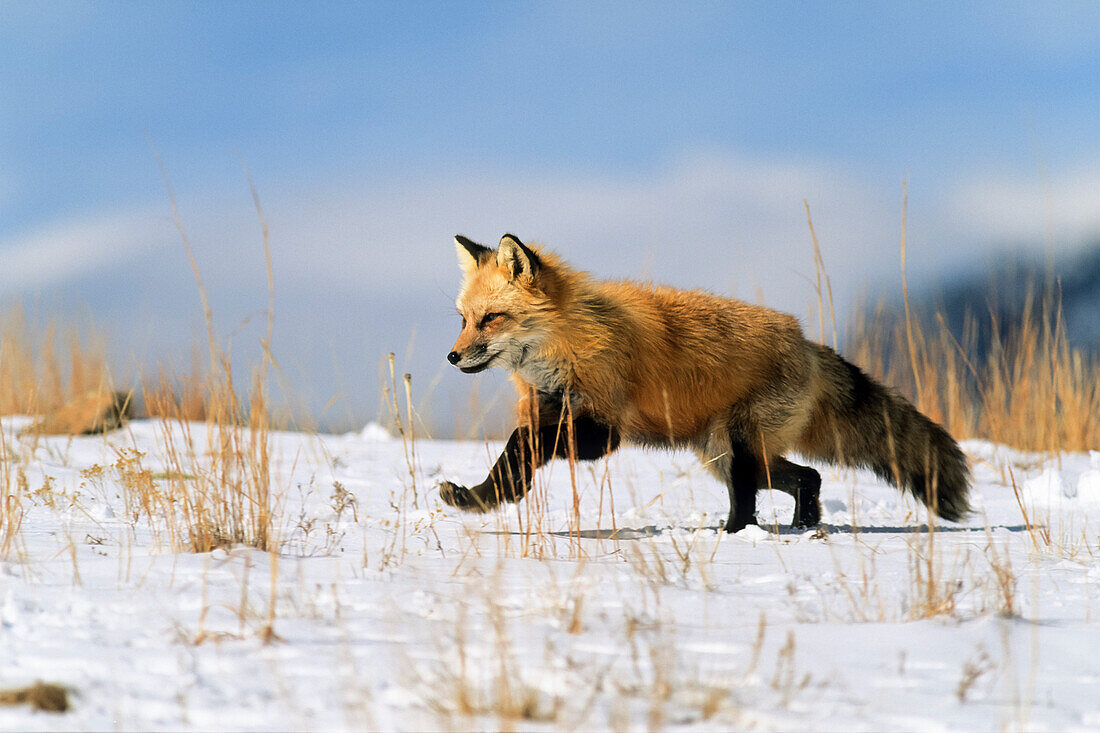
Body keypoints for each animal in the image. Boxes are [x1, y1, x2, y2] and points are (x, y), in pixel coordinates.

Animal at [437, 231, 972, 528]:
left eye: (491, 319)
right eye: (463, 319)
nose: (452, 356)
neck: (568, 343)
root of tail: (807, 343)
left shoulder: (603, 429)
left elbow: (522, 442)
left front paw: (490, 496)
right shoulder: (553, 409)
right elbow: (517, 452)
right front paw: (485, 497)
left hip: (737, 448)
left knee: (753, 499)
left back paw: (735, 535)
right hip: (724, 453)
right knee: (808, 477)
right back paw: (802, 526)